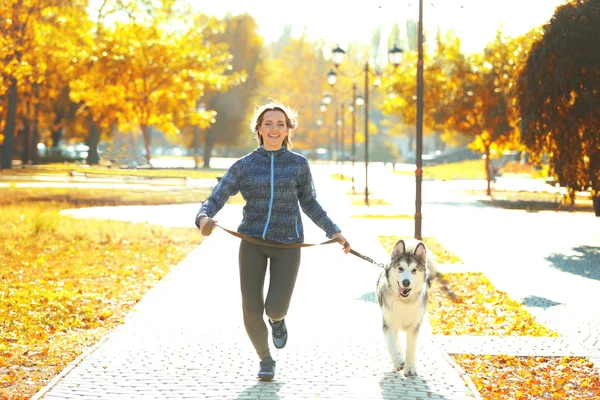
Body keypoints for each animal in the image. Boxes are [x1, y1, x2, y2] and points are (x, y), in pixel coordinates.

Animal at [376, 239, 436, 376]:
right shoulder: (388, 323)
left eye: (414, 270)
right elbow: (390, 343)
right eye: (400, 268)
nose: (406, 282)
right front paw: (398, 362)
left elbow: (411, 348)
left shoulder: (414, 326)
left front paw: (409, 368)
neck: (404, 301)